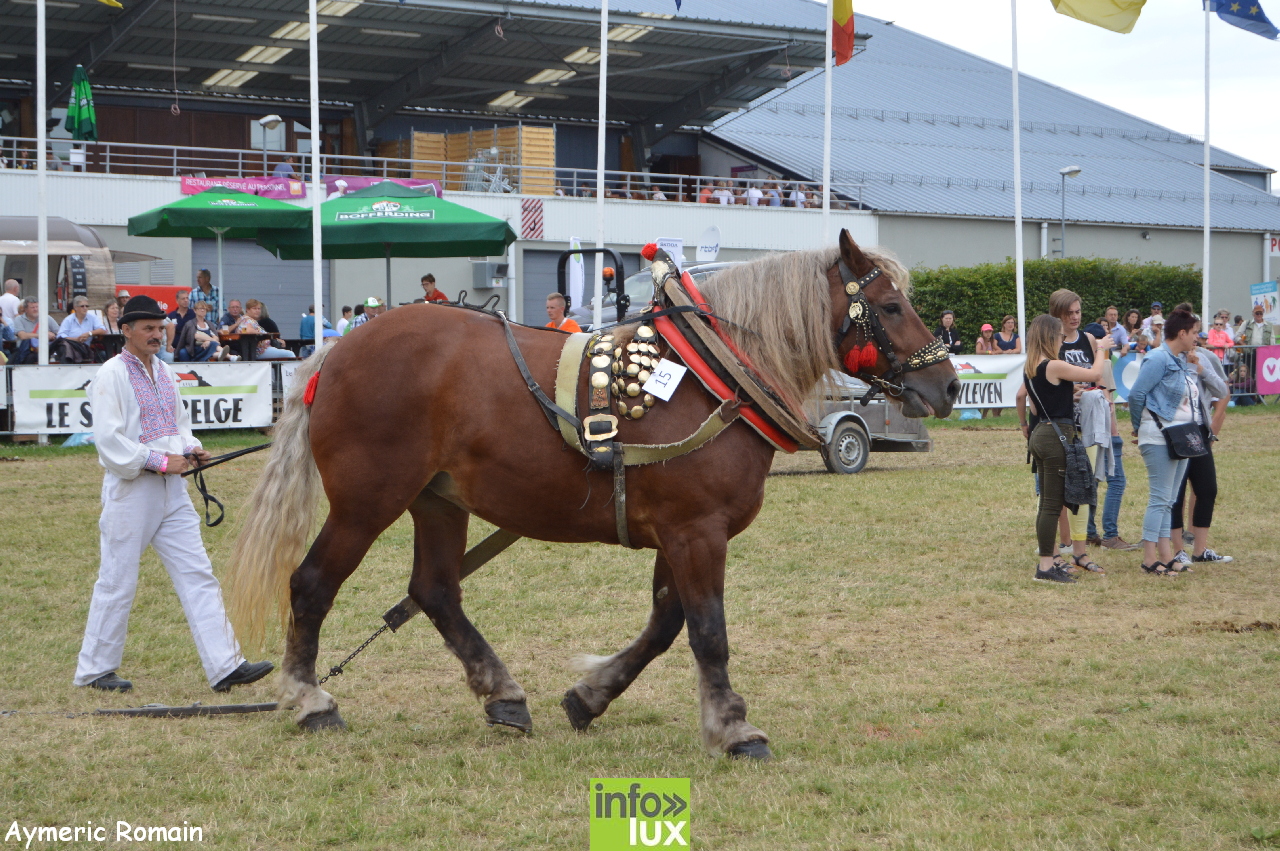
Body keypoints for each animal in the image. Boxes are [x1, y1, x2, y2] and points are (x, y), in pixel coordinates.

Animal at [225, 230, 957, 757]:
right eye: (891, 306)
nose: (947, 384)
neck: (713, 375)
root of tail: (338, 353)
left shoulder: (679, 531)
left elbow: (665, 625)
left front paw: (591, 694)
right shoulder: (697, 530)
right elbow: (708, 630)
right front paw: (732, 727)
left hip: (438, 499)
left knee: (435, 590)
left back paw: (502, 694)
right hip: (366, 501)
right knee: (312, 584)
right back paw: (311, 700)